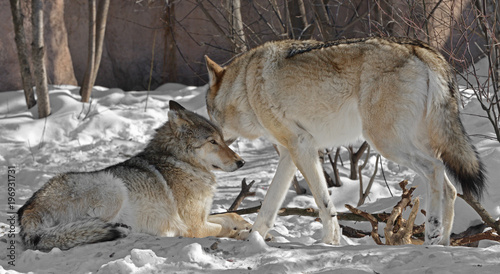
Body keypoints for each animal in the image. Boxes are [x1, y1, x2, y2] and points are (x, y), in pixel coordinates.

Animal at [19, 100, 250, 250]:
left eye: (223, 139)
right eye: (213, 142)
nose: (241, 162)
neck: (181, 162)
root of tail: (27, 209)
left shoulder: (203, 216)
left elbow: (230, 215)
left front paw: (245, 224)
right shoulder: (194, 225)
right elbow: (221, 228)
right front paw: (241, 233)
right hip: (113, 187)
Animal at [203, 37, 484, 246]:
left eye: (209, 115)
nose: (210, 134)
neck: (245, 86)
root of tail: (421, 49)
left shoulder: (302, 145)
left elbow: (323, 201)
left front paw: (330, 241)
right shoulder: (289, 154)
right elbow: (268, 207)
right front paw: (253, 239)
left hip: (385, 142)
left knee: (435, 170)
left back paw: (433, 233)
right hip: (418, 144)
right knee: (450, 187)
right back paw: (442, 243)